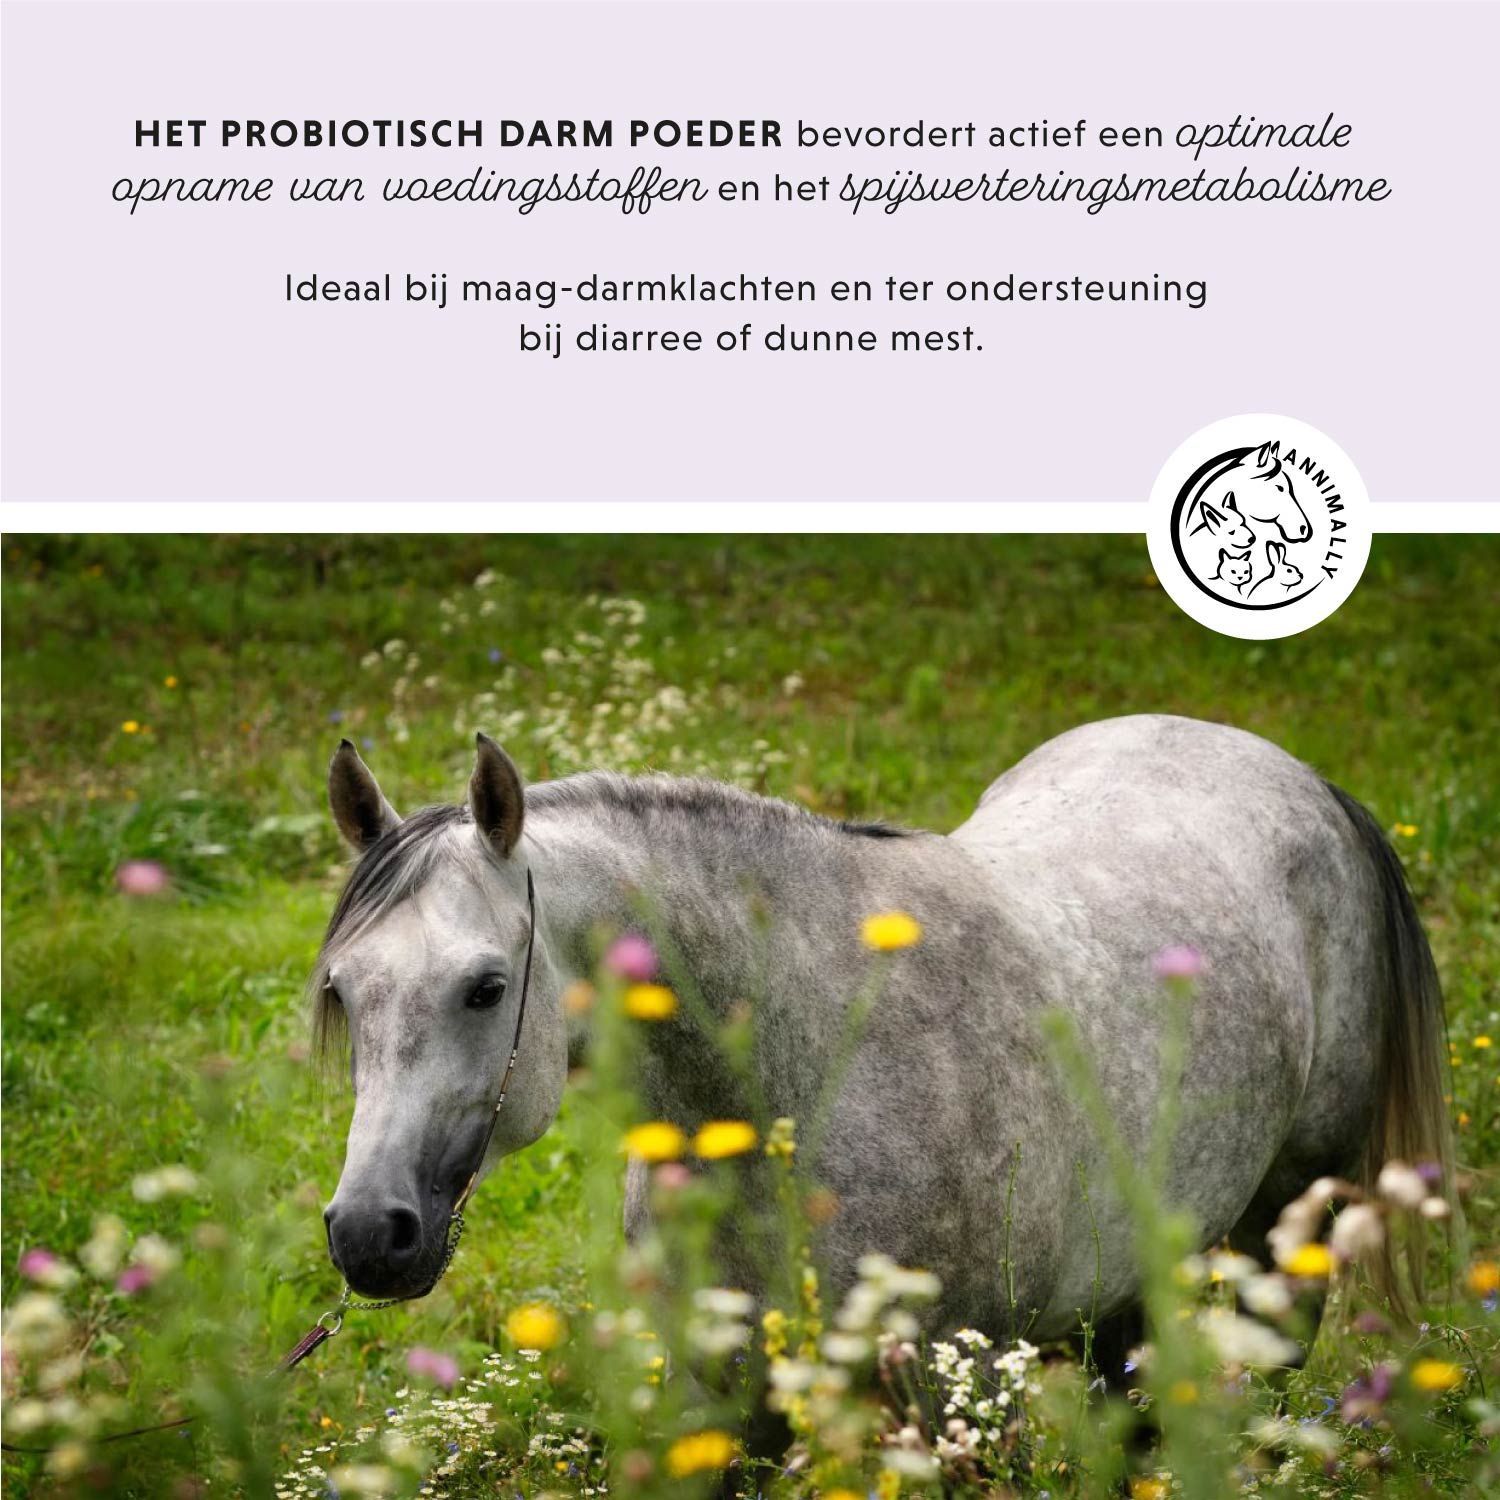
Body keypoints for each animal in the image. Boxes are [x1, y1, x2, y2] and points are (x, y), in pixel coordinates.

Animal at [312, 715, 1448, 1375]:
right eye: (343, 991)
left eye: (485, 987)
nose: (369, 1233)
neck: (804, 1072)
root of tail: (1305, 781)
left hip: (1285, 1234)